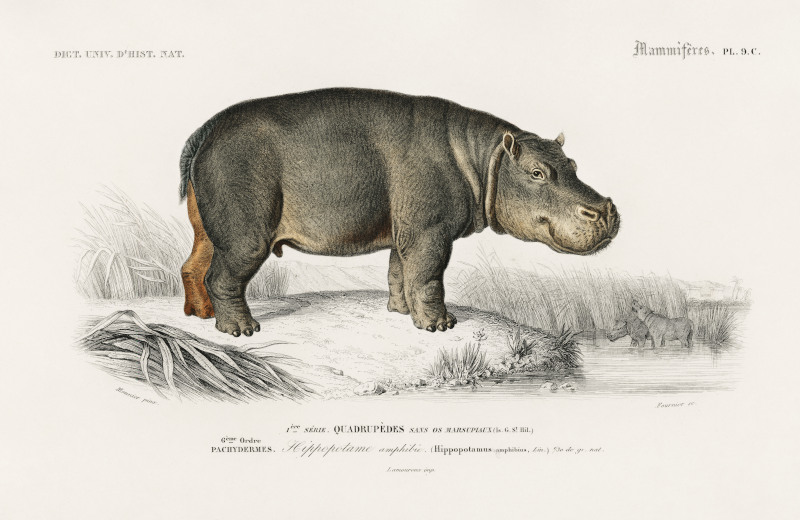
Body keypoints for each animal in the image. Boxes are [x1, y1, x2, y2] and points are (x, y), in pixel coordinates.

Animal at [179, 88, 620, 336]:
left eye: (573, 164)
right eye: (537, 172)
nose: (606, 209)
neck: (484, 156)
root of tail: (206, 130)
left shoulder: (405, 230)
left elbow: (400, 272)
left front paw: (400, 312)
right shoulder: (430, 232)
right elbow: (427, 276)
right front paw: (440, 326)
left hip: (211, 231)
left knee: (193, 266)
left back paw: (200, 316)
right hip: (246, 235)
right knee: (223, 277)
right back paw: (241, 330)